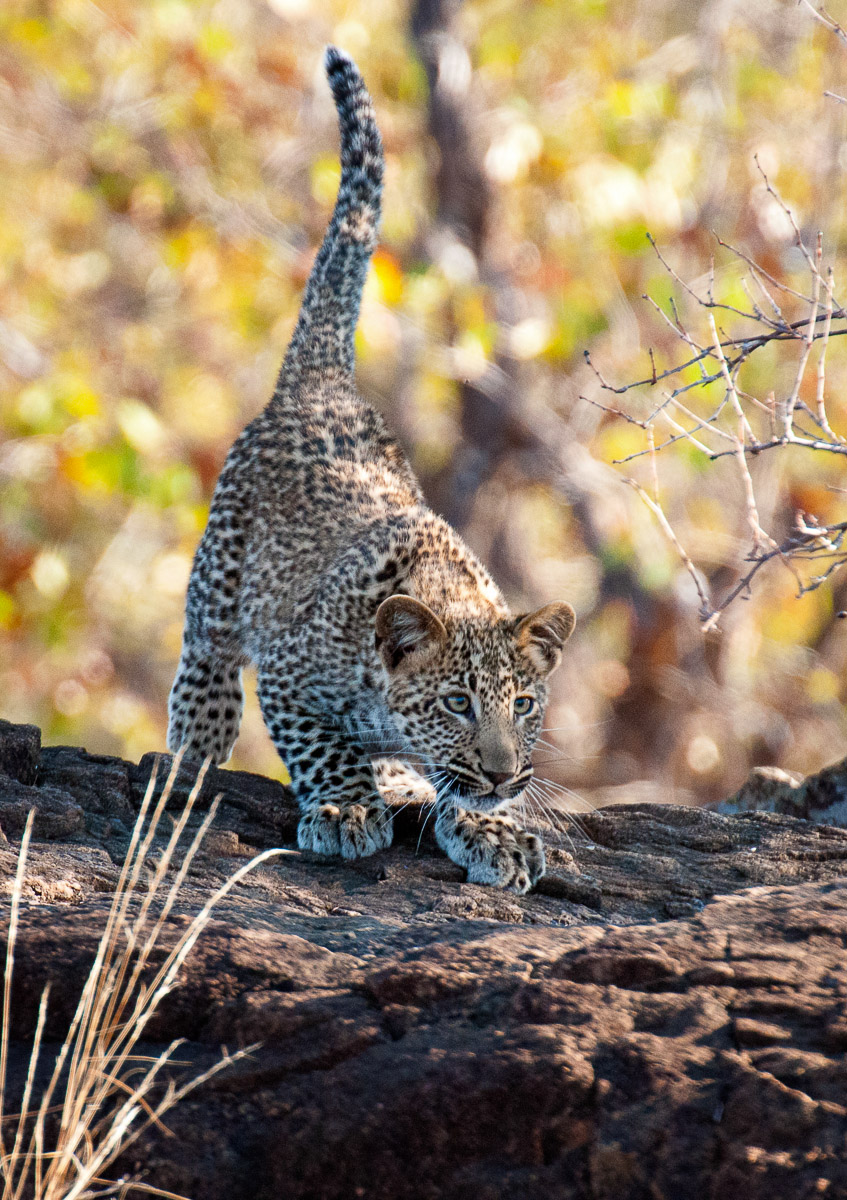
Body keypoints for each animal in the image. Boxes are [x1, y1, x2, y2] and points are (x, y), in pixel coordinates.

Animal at [167, 46, 576, 893]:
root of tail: (323, 382)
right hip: (223, 558)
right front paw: (346, 810)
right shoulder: (290, 674)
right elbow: (324, 747)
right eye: (456, 704)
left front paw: (489, 829)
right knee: (206, 645)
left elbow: (444, 783)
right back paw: (198, 738)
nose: (500, 774)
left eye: (523, 704)